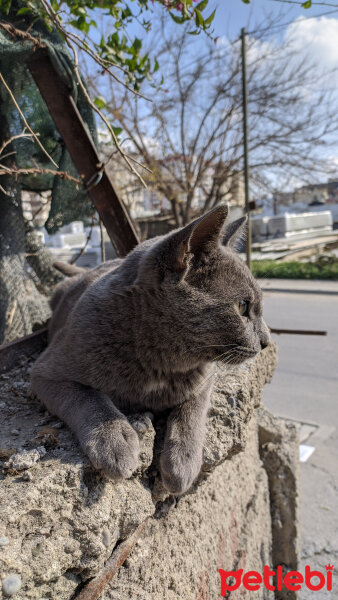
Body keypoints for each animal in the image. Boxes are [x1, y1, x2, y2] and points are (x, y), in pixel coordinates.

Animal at [31, 206, 270, 492]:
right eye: (243, 306)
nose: (266, 341)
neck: (158, 363)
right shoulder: (45, 371)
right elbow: (87, 397)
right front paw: (115, 440)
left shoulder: (205, 379)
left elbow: (192, 412)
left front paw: (182, 463)